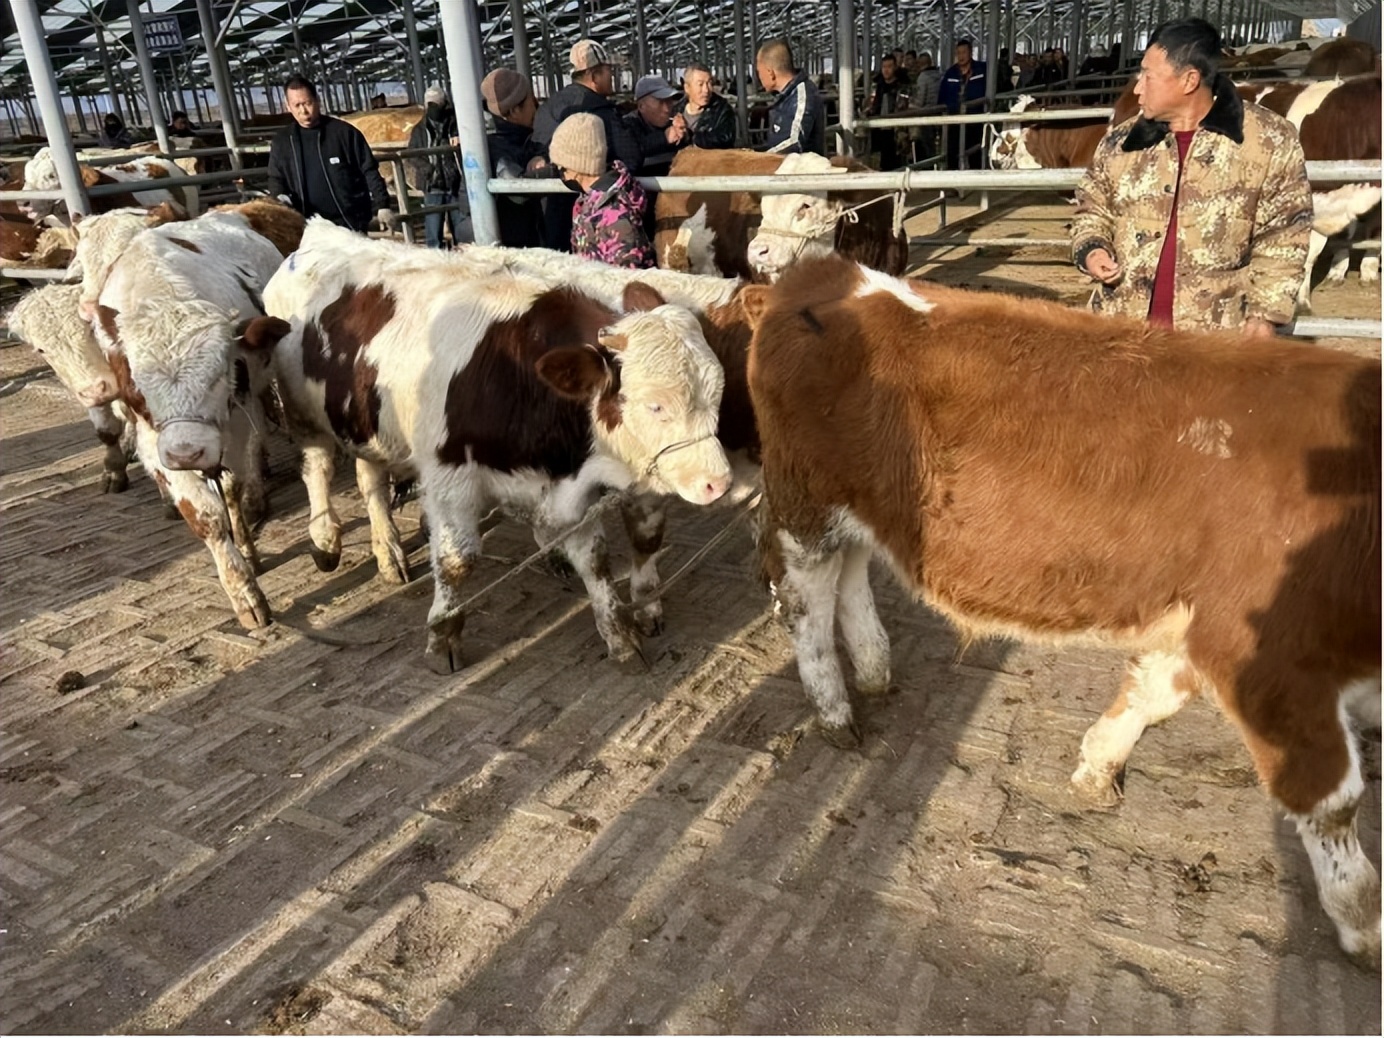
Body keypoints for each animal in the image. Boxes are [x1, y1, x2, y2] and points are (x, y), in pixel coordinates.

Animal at [86, 203, 306, 628]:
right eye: (136, 380)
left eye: (221, 372)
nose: (188, 453)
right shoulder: (155, 440)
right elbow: (205, 515)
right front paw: (242, 590)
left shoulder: (236, 418)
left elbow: (234, 483)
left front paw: (248, 548)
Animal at [251, 218, 733, 673]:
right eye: (656, 405)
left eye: (718, 393)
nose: (720, 483)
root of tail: (321, 232)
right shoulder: (450, 480)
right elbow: (456, 562)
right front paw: (442, 637)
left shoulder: (566, 487)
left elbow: (595, 559)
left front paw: (619, 635)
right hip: (302, 413)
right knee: (318, 466)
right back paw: (326, 540)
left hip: (366, 422)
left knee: (370, 478)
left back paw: (388, 552)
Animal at [742, 254, 1380, 968]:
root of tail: (815, 274)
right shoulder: (1271, 662)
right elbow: (1331, 801)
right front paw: (1365, 927)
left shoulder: (1198, 625)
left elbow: (1149, 695)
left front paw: (1097, 766)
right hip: (805, 506)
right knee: (806, 600)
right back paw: (834, 712)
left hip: (859, 510)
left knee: (851, 578)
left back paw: (877, 671)